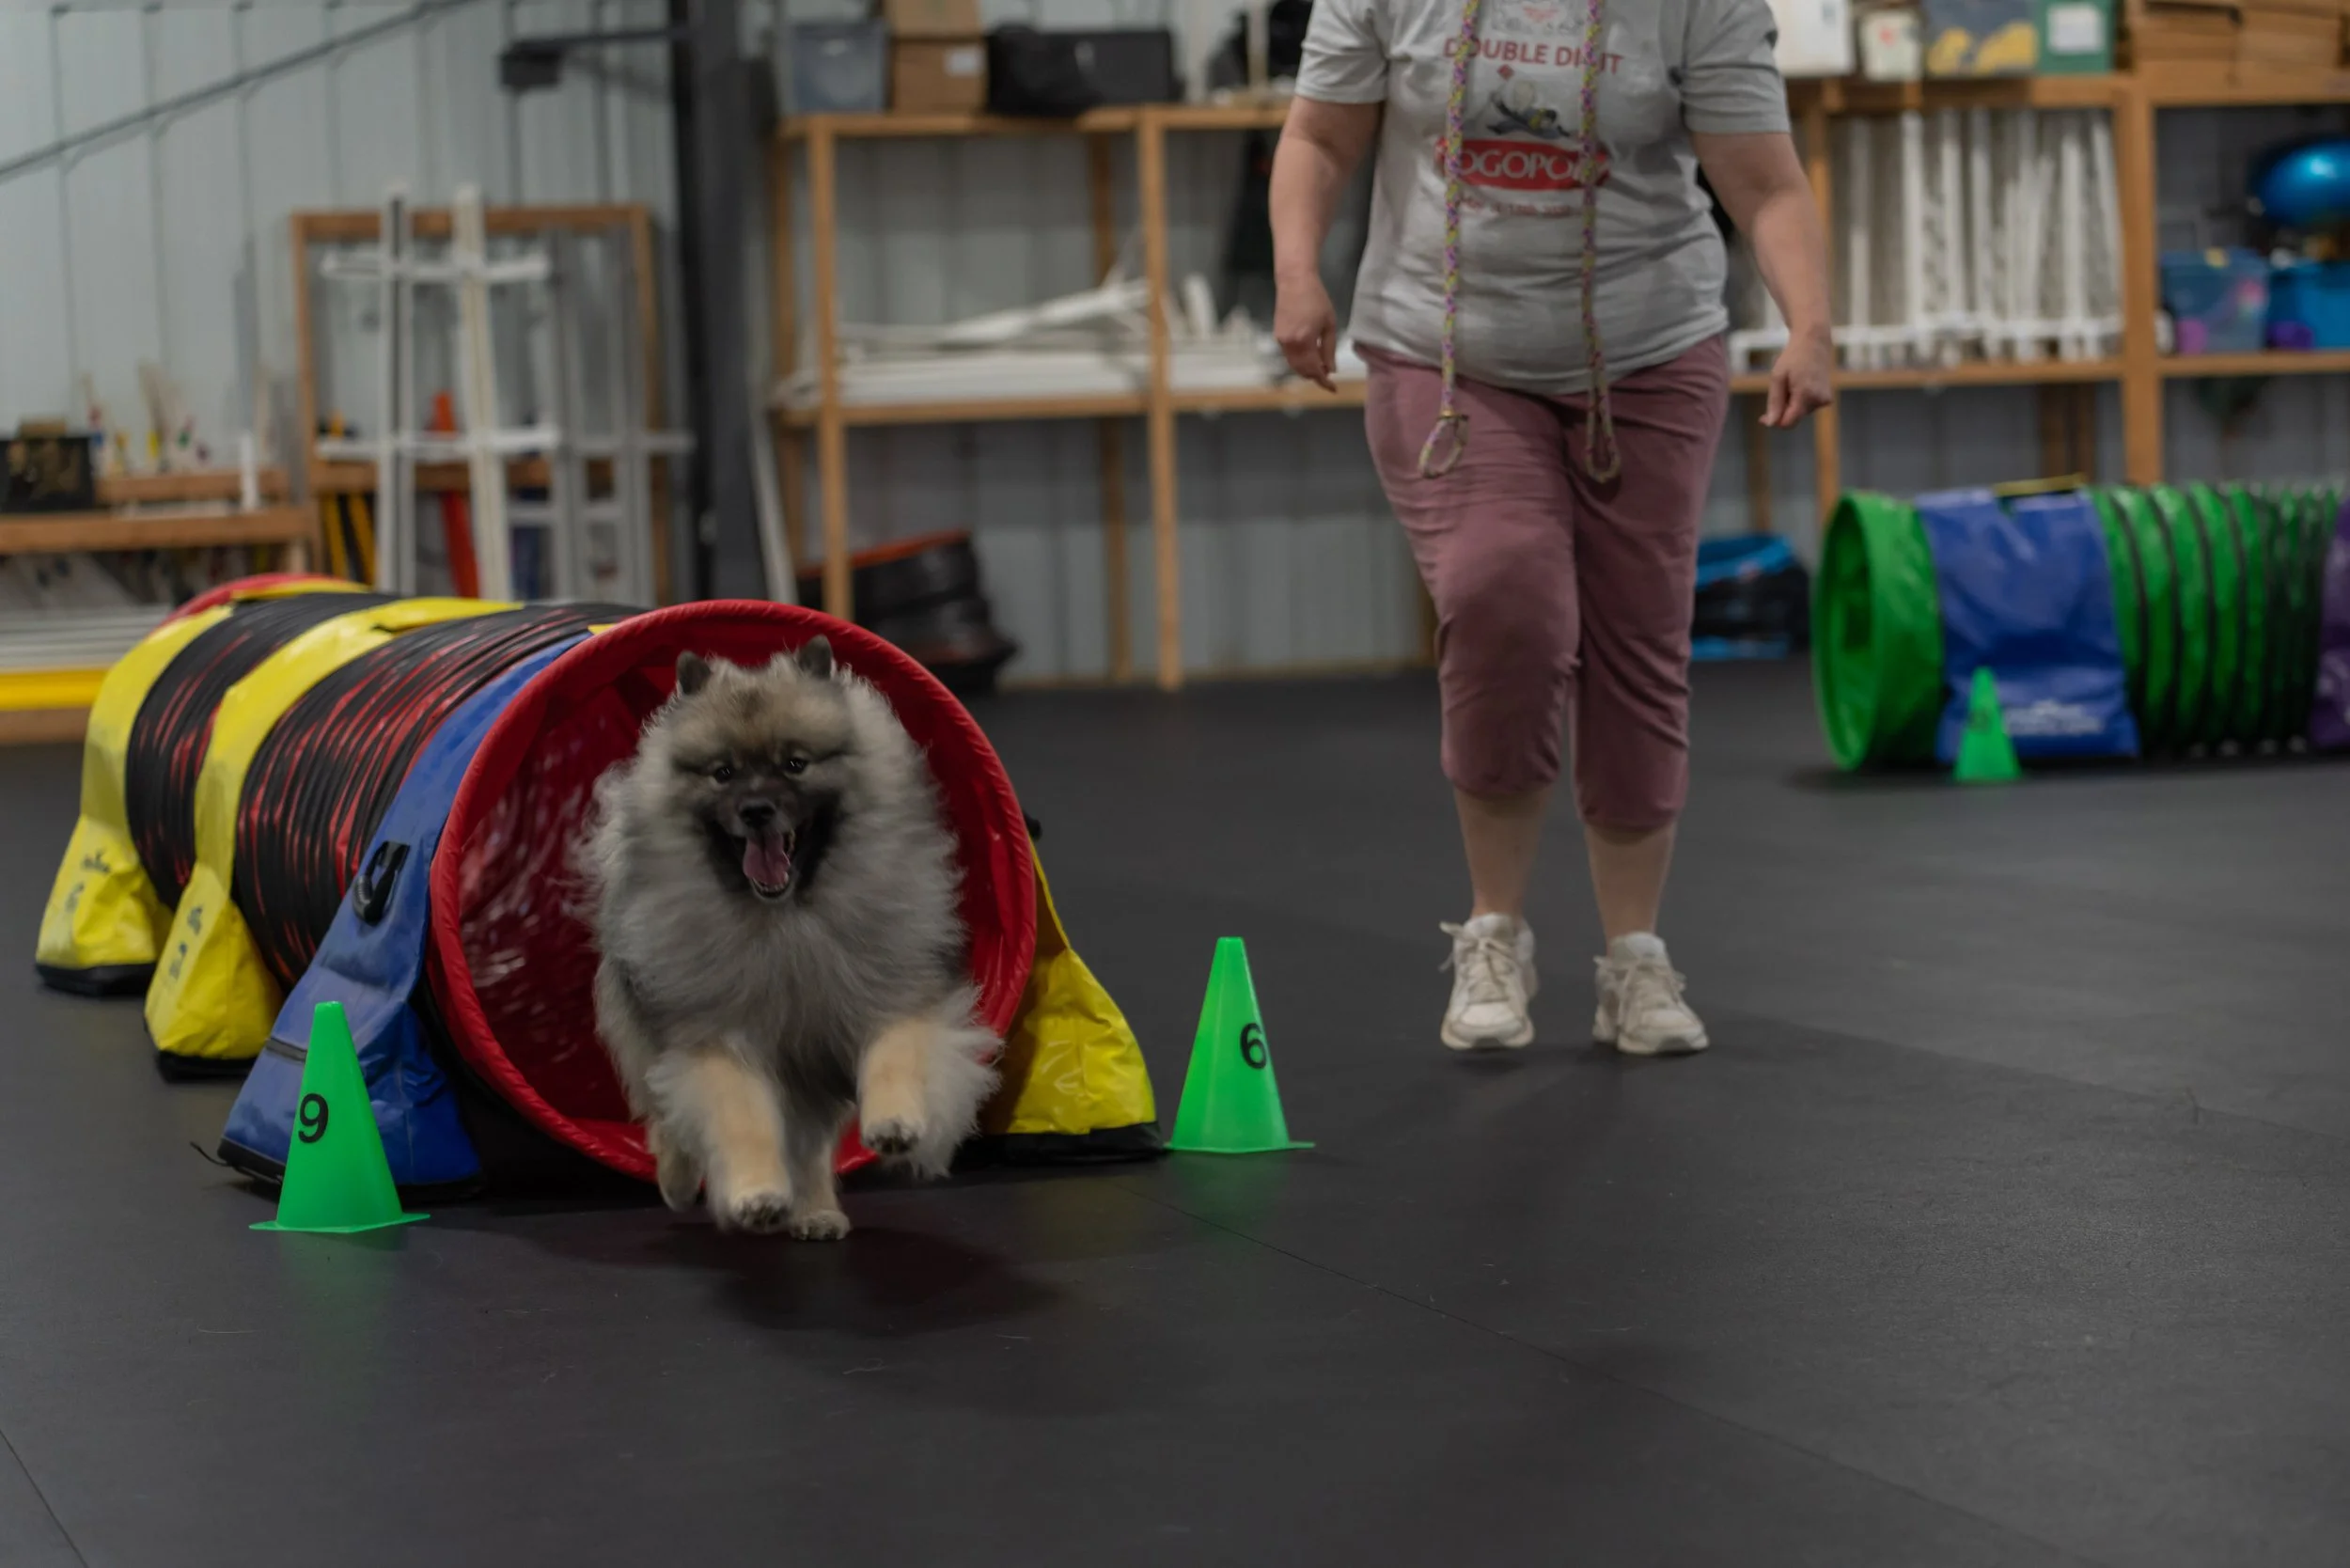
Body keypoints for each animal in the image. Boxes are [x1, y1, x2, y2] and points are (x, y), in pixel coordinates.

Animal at [581, 637, 998, 1239]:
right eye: (723, 773)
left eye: (795, 764)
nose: (757, 810)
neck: (788, 920)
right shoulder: (718, 1040)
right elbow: (741, 1119)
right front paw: (756, 1195)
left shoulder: (891, 993)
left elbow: (895, 1055)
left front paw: (895, 1123)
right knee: (662, 1112)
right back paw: (679, 1183)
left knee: (808, 1146)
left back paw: (816, 1210)